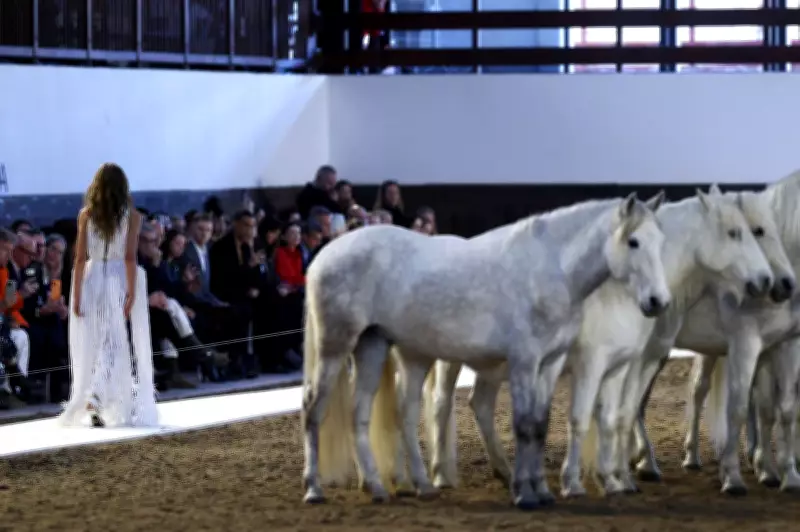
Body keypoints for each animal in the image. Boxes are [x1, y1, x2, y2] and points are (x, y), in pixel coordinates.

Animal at [301, 193, 672, 511]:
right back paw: (314, 489)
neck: (552, 270)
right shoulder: (526, 362)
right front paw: (524, 494)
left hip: (376, 347)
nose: (658, 301)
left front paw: (542, 490)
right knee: (314, 409)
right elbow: (524, 425)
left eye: (660, 242)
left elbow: (540, 425)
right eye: (633, 241)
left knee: (367, 413)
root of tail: (323, 255)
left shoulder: (550, 364)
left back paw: (388, 487)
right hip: (336, 347)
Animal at [422, 186, 776, 497]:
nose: (765, 281)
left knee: (479, 404)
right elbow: (601, 417)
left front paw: (619, 478)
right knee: (441, 405)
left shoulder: (635, 363)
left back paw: (505, 472)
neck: (618, 292)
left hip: (492, 365)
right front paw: (596, 478)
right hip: (451, 360)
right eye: (734, 232)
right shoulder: (598, 363)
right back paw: (439, 475)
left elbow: (619, 416)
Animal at [632, 174, 800, 495]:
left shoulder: (783, 346)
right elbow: (745, 407)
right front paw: (739, 475)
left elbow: (782, 409)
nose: (786, 285)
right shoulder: (748, 344)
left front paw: (787, 475)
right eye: (758, 230)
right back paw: (647, 462)